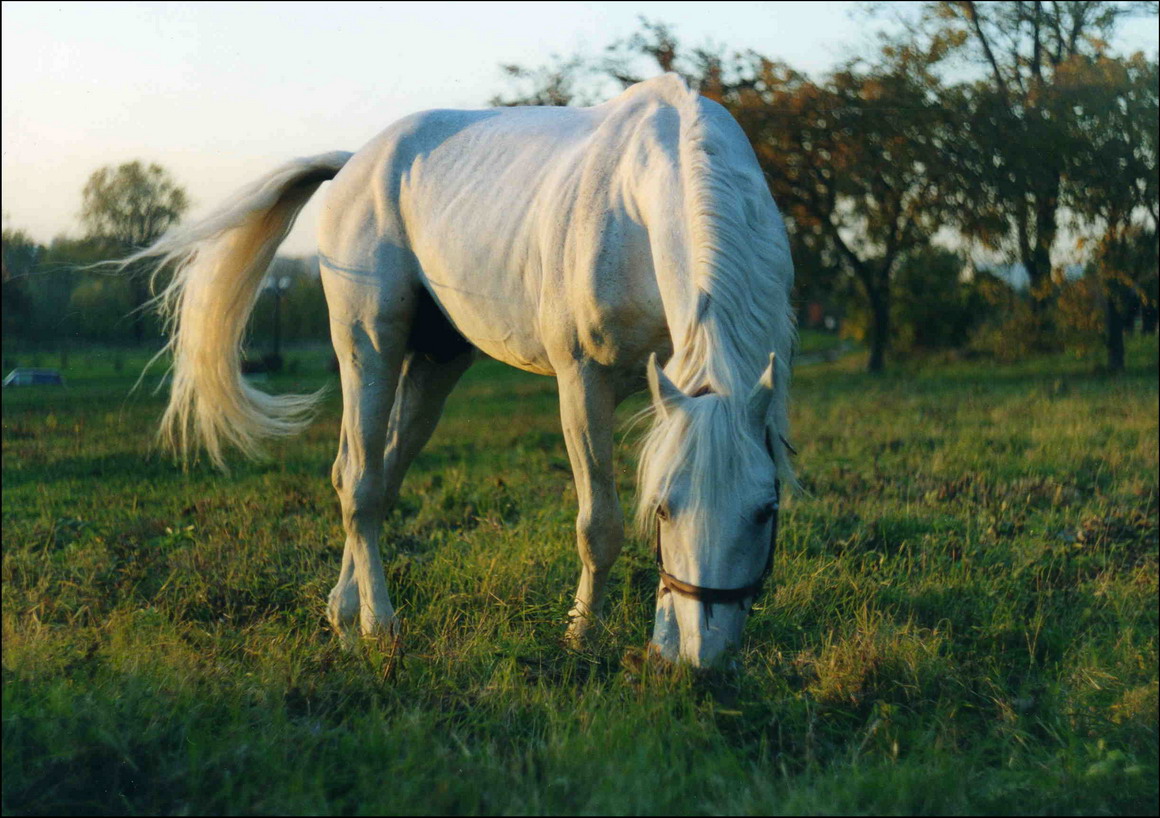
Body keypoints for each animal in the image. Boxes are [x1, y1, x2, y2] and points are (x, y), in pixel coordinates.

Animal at [131, 73, 793, 668]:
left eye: (766, 509)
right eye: (662, 510)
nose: (702, 661)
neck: (636, 205)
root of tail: (353, 164)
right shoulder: (584, 382)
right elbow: (598, 526)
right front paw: (581, 637)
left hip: (434, 363)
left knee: (375, 477)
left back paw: (343, 617)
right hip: (368, 347)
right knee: (360, 483)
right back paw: (377, 626)